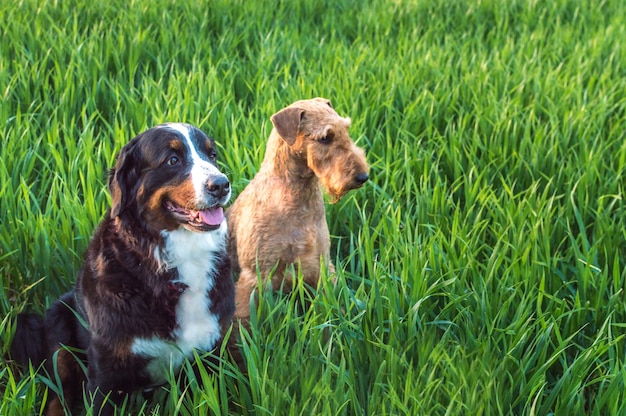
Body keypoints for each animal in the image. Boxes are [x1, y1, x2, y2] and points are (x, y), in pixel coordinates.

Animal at [11, 123, 235, 416]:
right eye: (173, 160)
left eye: (212, 155)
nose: (221, 184)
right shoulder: (107, 372)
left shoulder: (213, 354)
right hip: (60, 327)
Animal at [227, 98, 368, 322]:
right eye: (325, 138)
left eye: (346, 129)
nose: (363, 176)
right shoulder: (255, 273)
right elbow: (245, 318)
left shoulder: (320, 263)